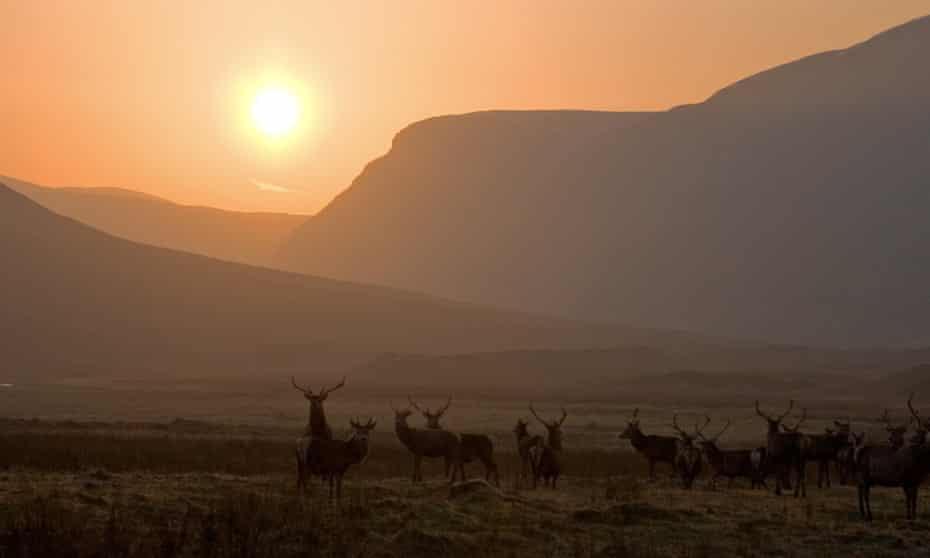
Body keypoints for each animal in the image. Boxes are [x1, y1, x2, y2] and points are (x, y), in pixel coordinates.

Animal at [848, 396, 928, 524]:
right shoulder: (904, 479)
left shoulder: (916, 482)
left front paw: (913, 517)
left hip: (863, 478)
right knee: (865, 494)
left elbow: (914, 499)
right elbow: (908, 499)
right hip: (864, 476)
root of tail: (858, 452)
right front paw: (908, 517)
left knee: (860, 491)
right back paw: (869, 516)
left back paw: (863, 514)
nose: (915, 439)